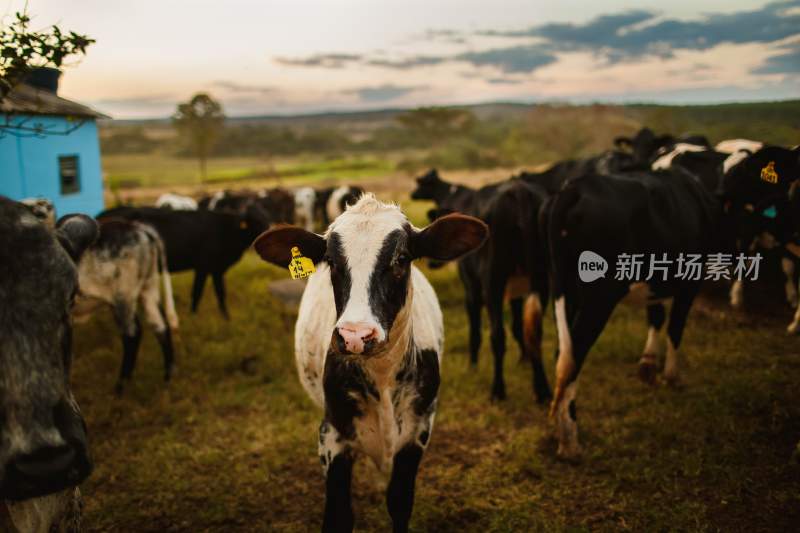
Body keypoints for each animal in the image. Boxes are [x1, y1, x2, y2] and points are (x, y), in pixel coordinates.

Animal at [72, 217, 180, 394]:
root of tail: (136, 226)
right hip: (148, 289)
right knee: (160, 327)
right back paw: (168, 379)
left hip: (123, 298)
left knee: (132, 335)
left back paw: (120, 387)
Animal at [253, 195, 488, 532]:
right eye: (331, 261)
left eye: (401, 259)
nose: (355, 335)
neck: (382, 375)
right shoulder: (332, 434)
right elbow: (339, 515)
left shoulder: (418, 431)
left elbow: (399, 502)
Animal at [410, 169, 552, 400]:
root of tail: (519, 190)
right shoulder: (517, 291)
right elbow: (518, 326)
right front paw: (523, 359)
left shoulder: (471, 288)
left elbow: (476, 330)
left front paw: (473, 365)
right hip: (540, 279)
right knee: (534, 331)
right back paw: (542, 389)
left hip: (493, 279)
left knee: (497, 335)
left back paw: (498, 390)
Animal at [540, 167, 720, 458]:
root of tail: (574, 187)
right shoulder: (690, 281)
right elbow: (676, 326)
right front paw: (671, 376)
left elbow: (656, 315)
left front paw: (648, 366)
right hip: (599, 295)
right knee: (576, 352)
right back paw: (570, 442)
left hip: (564, 287)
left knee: (563, 354)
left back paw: (561, 430)